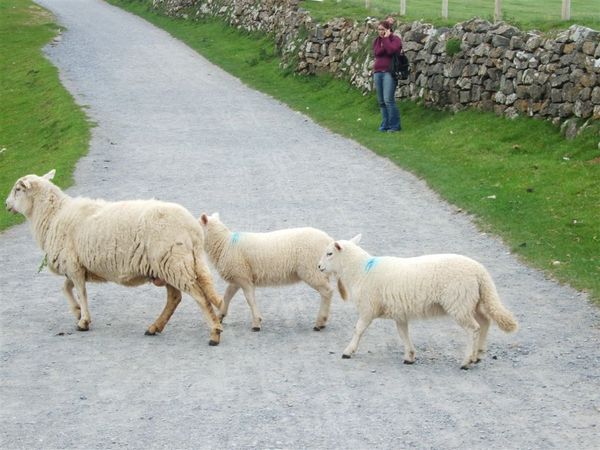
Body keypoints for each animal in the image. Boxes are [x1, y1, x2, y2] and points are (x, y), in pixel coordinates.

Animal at [4, 169, 225, 344]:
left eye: (17, 189)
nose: (6, 205)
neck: (53, 215)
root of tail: (193, 229)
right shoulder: (77, 266)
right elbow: (66, 288)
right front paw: (76, 311)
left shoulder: (73, 264)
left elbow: (81, 292)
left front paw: (83, 321)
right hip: (170, 264)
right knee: (175, 297)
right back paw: (155, 327)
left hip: (174, 263)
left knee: (199, 297)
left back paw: (214, 333)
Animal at [200, 213, 342, 332]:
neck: (224, 244)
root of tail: (329, 240)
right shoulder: (238, 276)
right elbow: (227, 296)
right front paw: (220, 316)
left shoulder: (243, 277)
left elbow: (249, 299)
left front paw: (256, 323)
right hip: (318, 272)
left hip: (312, 270)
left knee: (327, 292)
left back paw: (320, 322)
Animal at [316, 234, 516, 368]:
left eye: (329, 253)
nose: (319, 267)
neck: (359, 271)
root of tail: (480, 271)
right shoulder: (399, 313)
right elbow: (403, 334)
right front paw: (409, 356)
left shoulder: (368, 308)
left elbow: (358, 330)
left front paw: (348, 351)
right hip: (473, 301)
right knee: (485, 323)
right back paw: (478, 355)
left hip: (459, 302)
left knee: (474, 329)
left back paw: (466, 361)